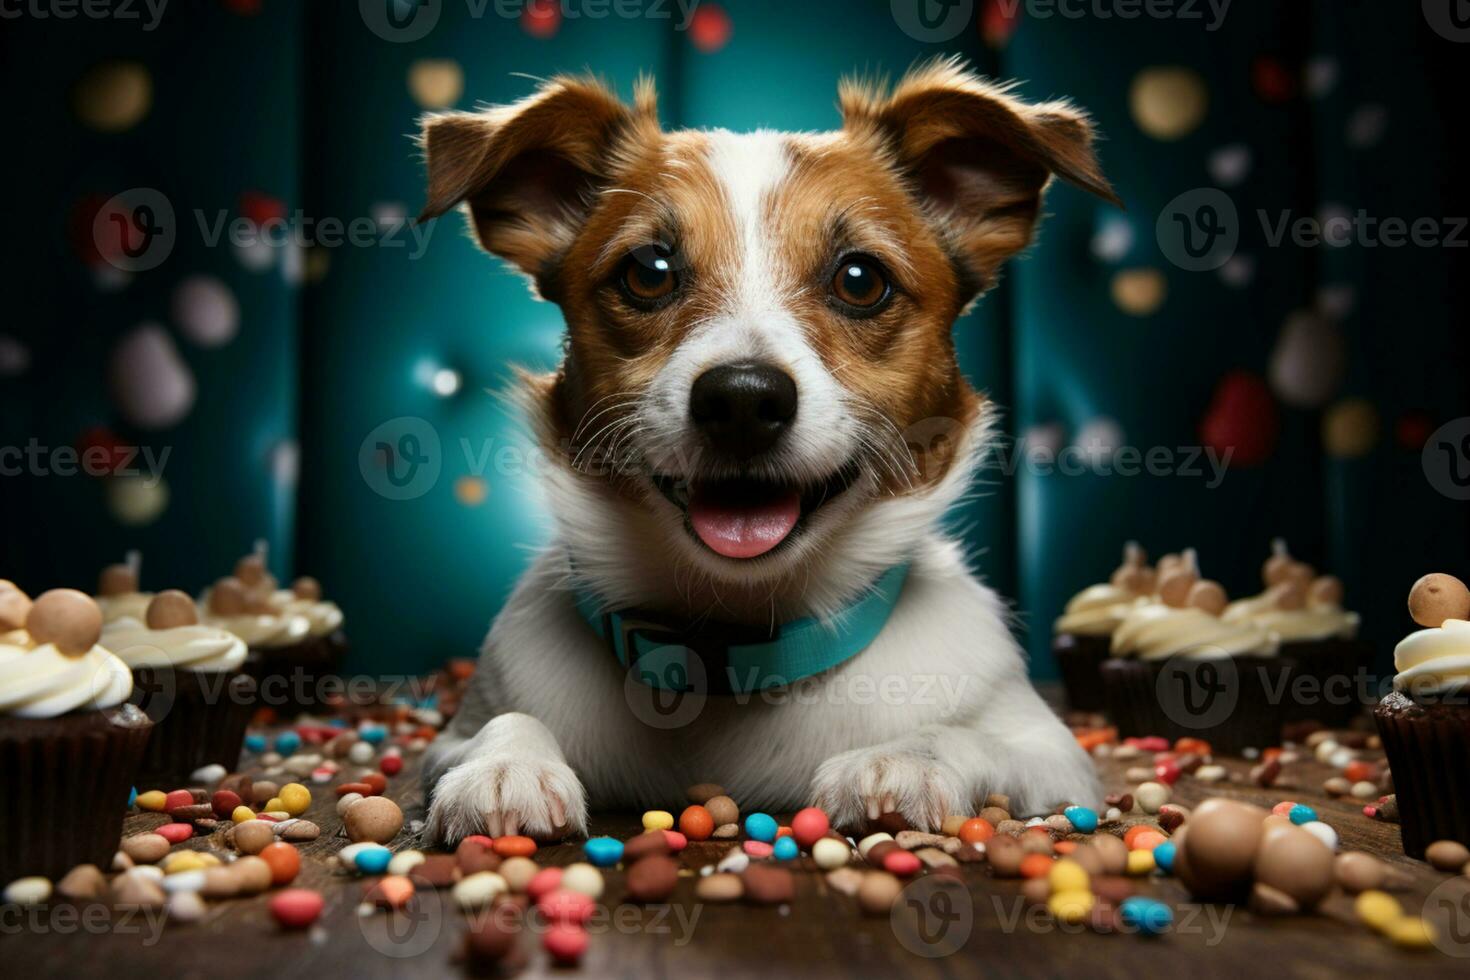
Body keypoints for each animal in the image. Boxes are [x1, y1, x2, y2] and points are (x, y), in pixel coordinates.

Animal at [420, 59, 1117, 846]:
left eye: (860, 279)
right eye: (648, 271)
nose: (743, 400)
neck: (738, 638)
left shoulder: (1051, 751)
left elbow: (962, 733)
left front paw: (902, 760)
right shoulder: (455, 733)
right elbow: (499, 724)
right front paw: (505, 765)